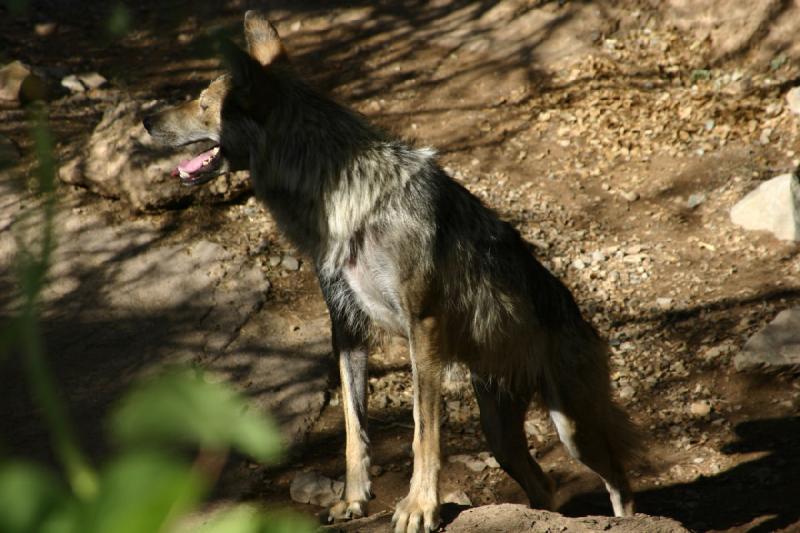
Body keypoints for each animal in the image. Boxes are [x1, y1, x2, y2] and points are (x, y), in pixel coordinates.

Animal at [144, 12, 644, 532]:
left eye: (203, 105)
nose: (145, 119)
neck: (340, 198)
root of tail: (581, 318)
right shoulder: (346, 328)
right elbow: (353, 429)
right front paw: (353, 501)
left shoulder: (422, 327)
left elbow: (424, 432)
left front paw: (419, 506)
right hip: (500, 433)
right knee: (544, 486)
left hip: (573, 430)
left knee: (621, 481)